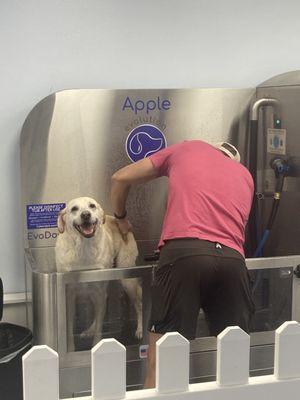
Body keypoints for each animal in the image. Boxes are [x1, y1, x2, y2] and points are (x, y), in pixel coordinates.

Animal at [55, 197, 143, 350]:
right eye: (74, 209)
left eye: (92, 206)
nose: (86, 215)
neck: (84, 249)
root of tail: (118, 220)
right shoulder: (69, 296)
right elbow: (69, 328)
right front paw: (70, 349)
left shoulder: (99, 291)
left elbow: (99, 329)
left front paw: (97, 346)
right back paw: (89, 330)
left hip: (127, 281)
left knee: (138, 304)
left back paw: (140, 329)